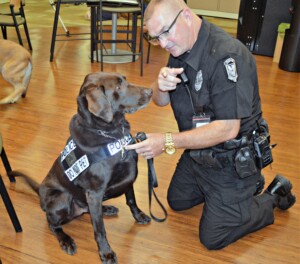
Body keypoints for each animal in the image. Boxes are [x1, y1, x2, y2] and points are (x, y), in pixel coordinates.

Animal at [11, 72, 152, 264]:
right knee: (52, 224)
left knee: (88, 212)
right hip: (62, 198)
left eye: (125, 79)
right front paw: (106, 252)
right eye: (118, 87)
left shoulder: (128, 175)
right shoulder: (94, 192)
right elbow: (99, 228)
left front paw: (139, 215)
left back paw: (106, 209)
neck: (111, 134)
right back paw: (66, 240)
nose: (151, 91)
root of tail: (40, 191)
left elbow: (131, 200)